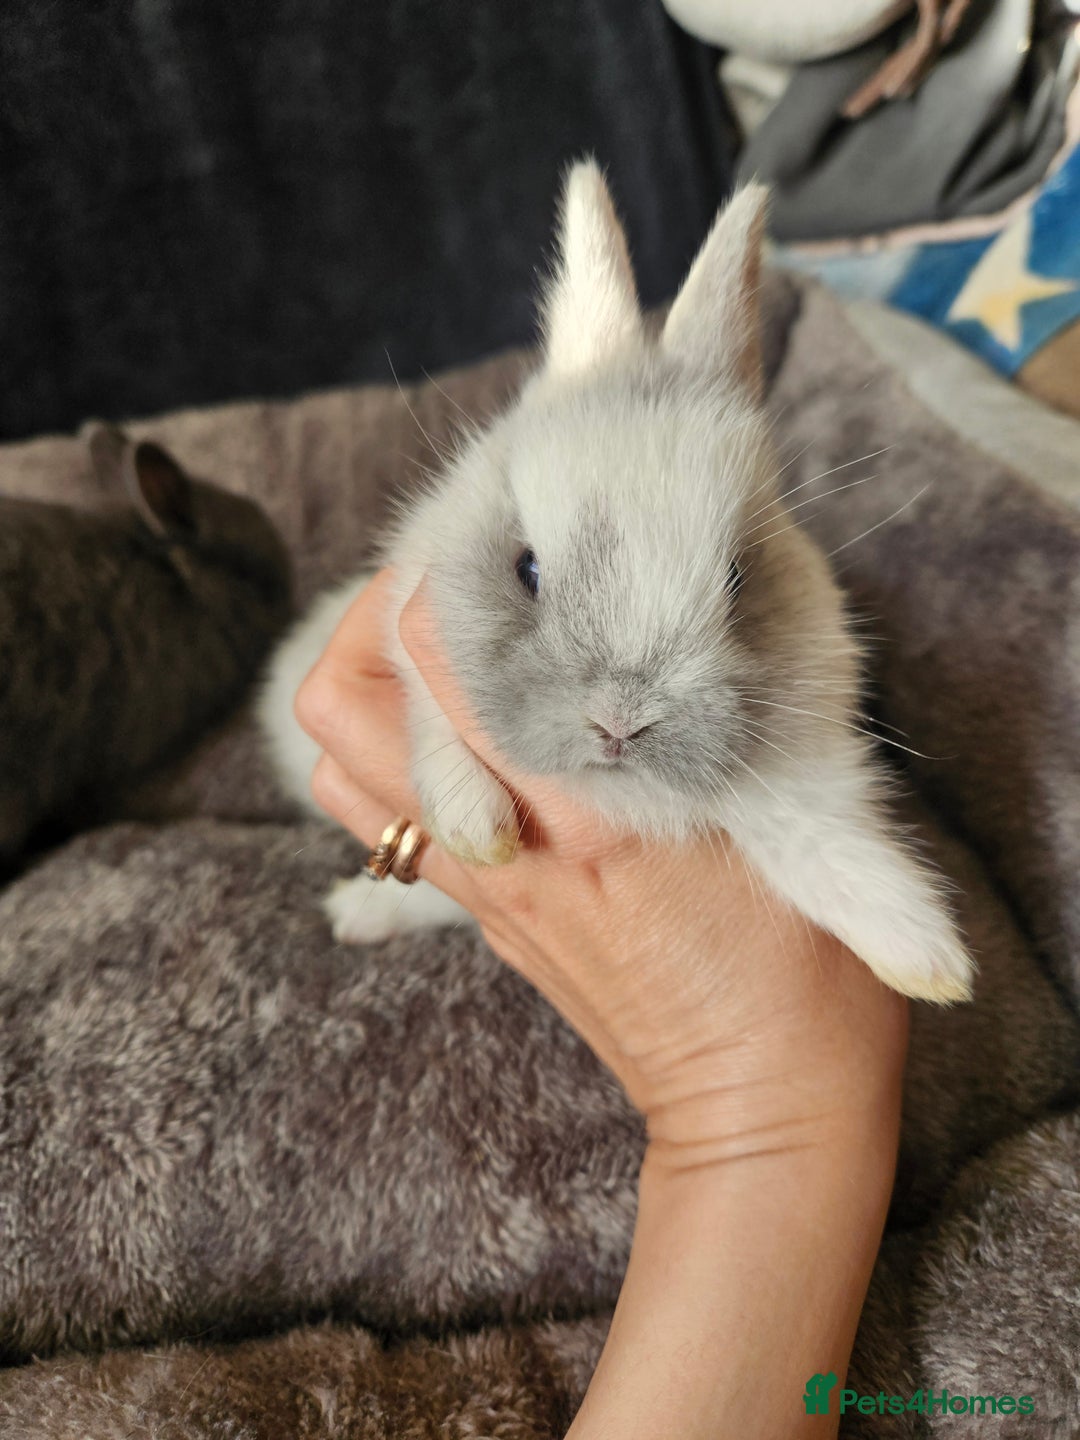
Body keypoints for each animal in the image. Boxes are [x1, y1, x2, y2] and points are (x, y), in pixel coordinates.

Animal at [260, 160, 973, 1005]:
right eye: (527, 569)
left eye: (739, 578)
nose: (620, 723)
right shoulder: (412, 633)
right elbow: (436, 732)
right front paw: (473, 827)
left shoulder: (806, 772)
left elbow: (824, 844)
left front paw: (927, 958)